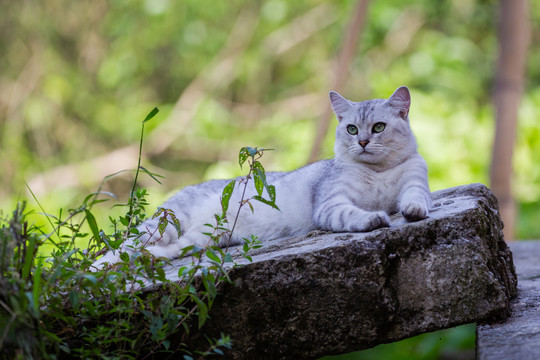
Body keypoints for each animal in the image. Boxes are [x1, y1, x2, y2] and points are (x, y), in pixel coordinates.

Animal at [93, 86, 430, 268]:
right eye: (351, 129)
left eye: (378, 127)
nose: (361, 142)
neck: (378, 171)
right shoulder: (331, 204)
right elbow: (354, 214)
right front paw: (374, 218)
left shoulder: (415, 181)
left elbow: (416, 198)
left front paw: (413, 211)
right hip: (163, 227)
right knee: (116, 250)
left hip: (190, 241)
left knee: (149, 253)